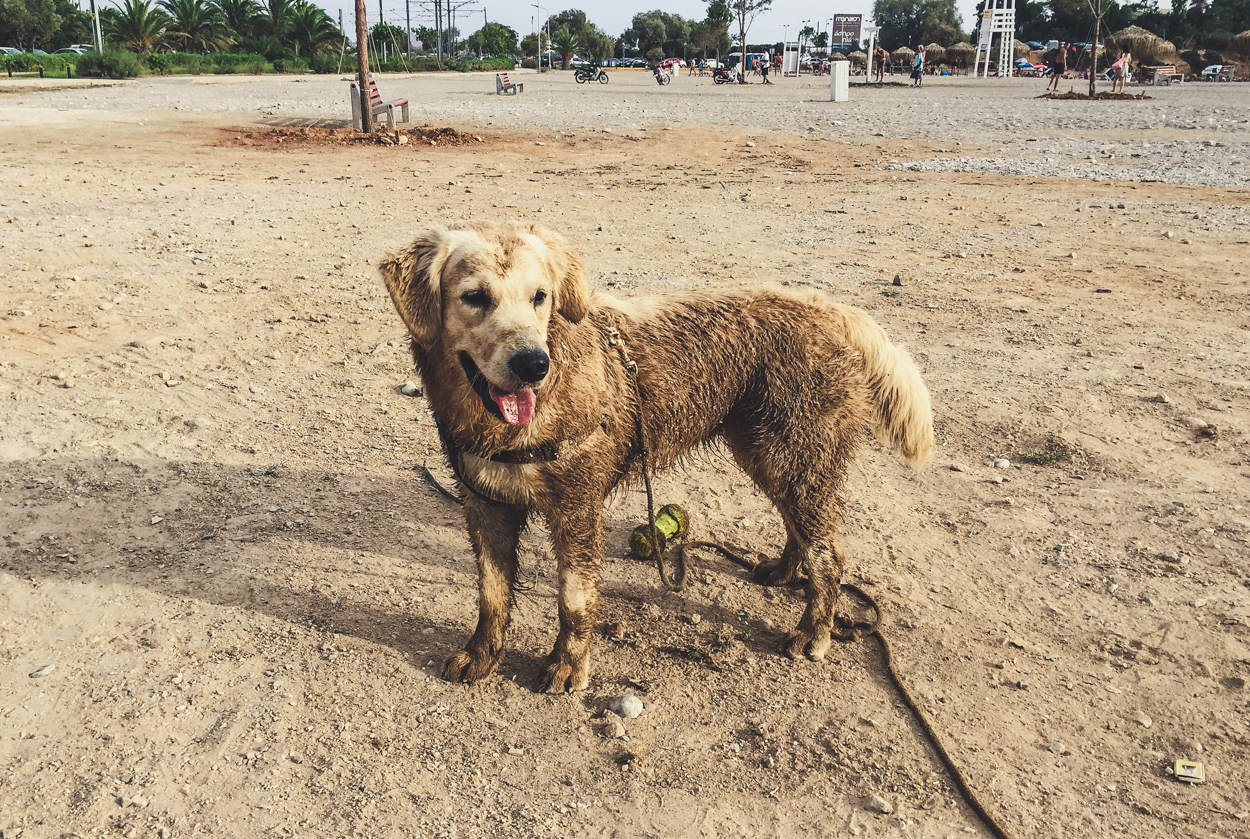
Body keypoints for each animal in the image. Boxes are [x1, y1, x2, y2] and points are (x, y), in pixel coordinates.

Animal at [380, 222, 930, 695]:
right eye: (475, 297)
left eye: (540, 297)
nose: (534, 364)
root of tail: (832, 310)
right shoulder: (486, 504)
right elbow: (491, 596)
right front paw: (482, 654)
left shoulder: (578, 510)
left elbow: (574, 601)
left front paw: (567, 666)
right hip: (768, 455)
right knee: (801, 530)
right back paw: (783, 570)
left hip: (793, 457)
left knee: (829, 555)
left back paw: (814, 631)